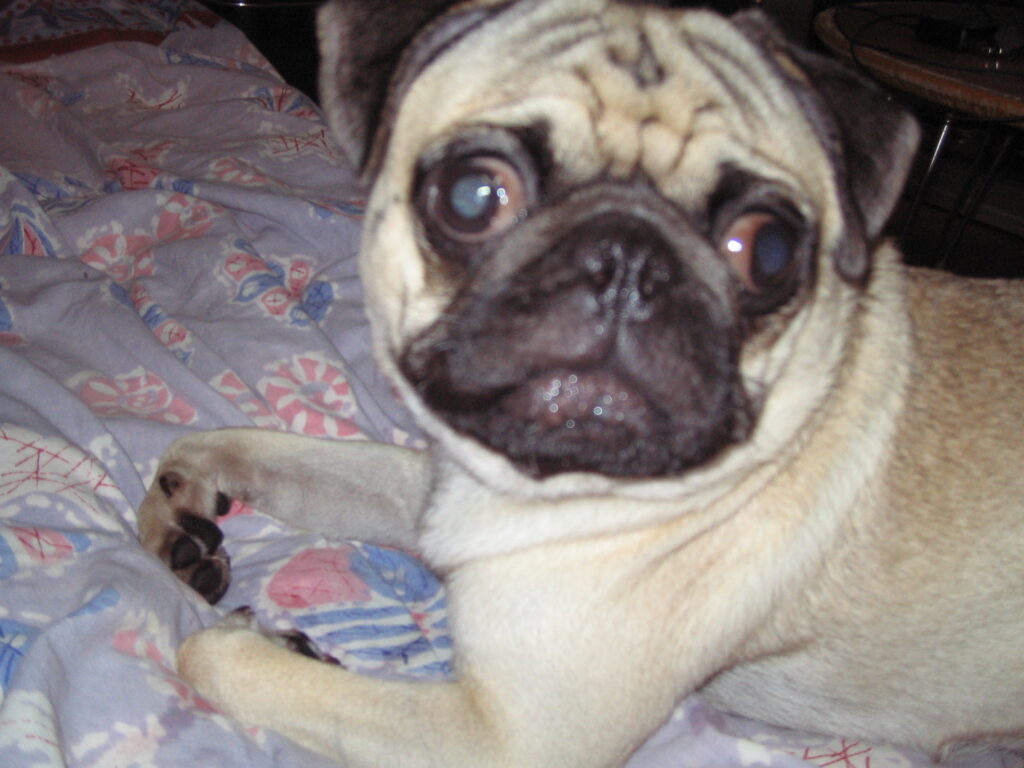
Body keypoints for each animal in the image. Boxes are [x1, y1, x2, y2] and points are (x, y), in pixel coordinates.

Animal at [137, 0, 1024, 765]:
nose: (627, 260)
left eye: (767, 252)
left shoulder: (506, 738)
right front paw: (180, 502)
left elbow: (211, 657)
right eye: (474, 196)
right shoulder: (437, 497)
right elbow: (269, 455)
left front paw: (259, 643)